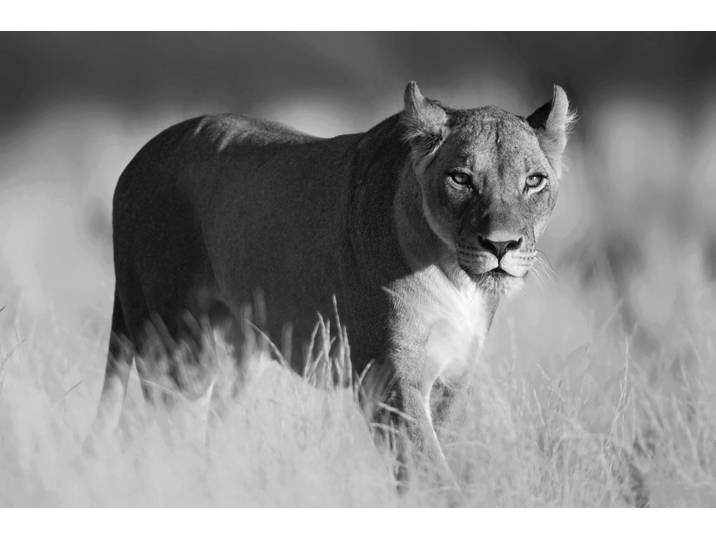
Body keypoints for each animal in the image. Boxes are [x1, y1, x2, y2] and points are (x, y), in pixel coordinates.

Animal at [92, 81, 573, 500]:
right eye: (460, 179)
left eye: (534, 181)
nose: (501, 245)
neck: (457, 277)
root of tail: (138, 159)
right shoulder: (388, 376)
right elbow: (429, 470)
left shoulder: (450, 379)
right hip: (174, 350)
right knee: (160, 433)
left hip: (231, 359)